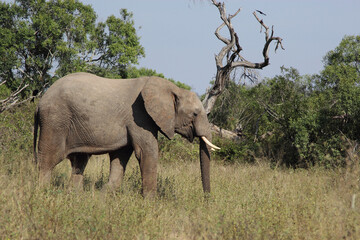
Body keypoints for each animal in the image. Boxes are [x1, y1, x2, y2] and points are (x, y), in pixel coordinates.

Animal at [33, 72, 219, 196]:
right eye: (195, 114)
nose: (207, 199)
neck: (172, 88)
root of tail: (40, 101)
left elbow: (121, 156)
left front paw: (104, 197)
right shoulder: (139, 117)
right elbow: (147, 152)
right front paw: (151, 203)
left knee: (79, 161)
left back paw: (74, 196)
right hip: (55, 120)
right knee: (49, 159)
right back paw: (43, 193)